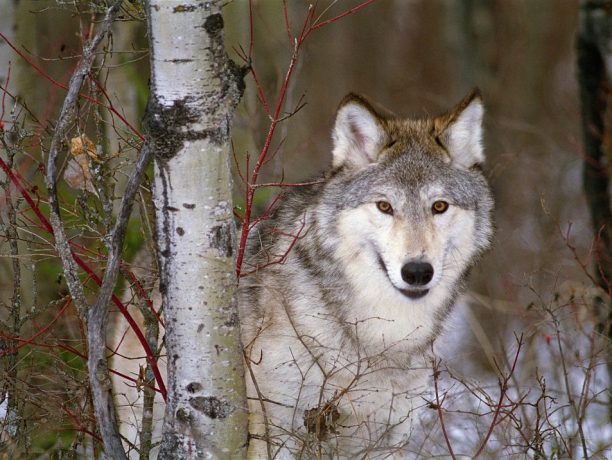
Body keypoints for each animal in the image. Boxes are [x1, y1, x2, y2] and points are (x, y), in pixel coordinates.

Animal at [237, 88, 494, 458]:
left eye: (439, 206)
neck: (383, 339)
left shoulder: (387, 440)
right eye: (384, 206)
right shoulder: (276, 432)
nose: (417, 272)